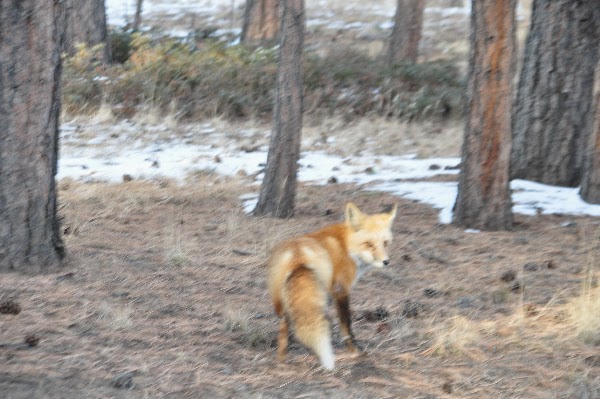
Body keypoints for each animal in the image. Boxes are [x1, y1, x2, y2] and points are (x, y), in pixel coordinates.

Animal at [266, 203, 396, 372]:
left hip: (281, 301)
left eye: (385, 243)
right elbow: (346, 324)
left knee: (284, 328)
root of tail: (297, 255)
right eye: (368, 244)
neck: (347, 246)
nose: (385, 262)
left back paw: (282, 359)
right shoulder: (341, 289)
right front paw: (354, 350)